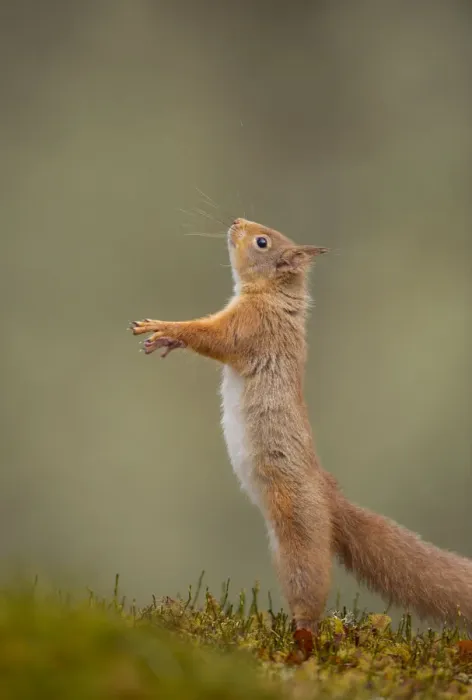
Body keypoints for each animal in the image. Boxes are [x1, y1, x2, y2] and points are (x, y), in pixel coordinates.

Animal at [129, 217, 472, 632]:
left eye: (262, 241)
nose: (237, 221)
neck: (274, 297)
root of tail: (330, 498)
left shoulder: (250, 327)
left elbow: (212, 337)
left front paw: (164, 326)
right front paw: (162, 340)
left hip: (299, 531)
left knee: (310, 587)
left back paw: (303, 632)